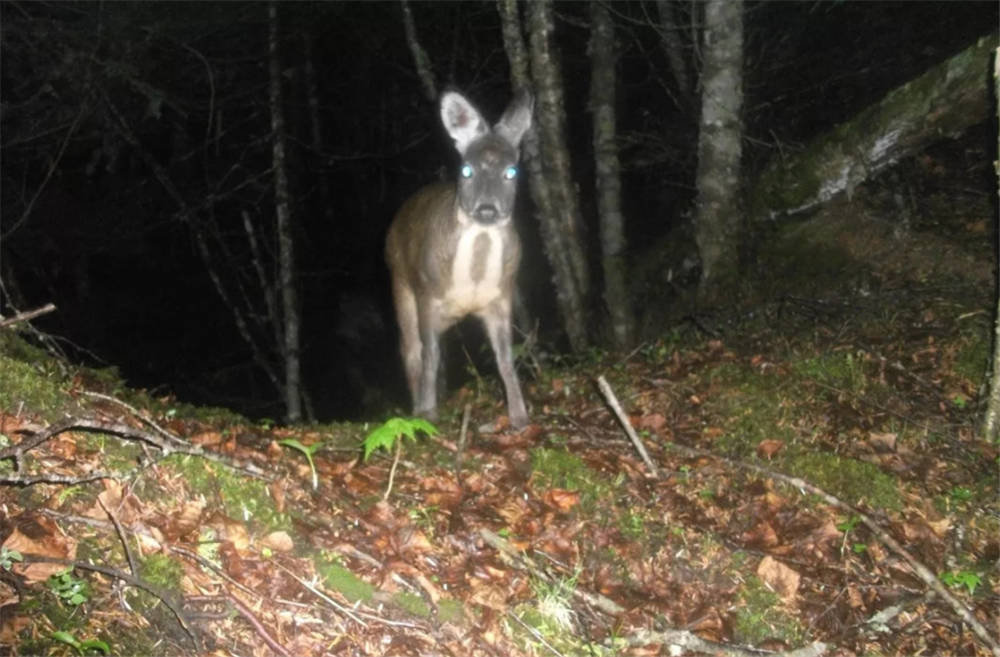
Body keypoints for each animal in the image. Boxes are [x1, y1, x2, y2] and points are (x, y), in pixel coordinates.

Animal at [386, 91, 536, 430]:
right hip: (400, 281)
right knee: (411, 351)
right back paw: (417, 406)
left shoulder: (502, 295)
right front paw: (427, 414)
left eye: (512, 172)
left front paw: (519, 416)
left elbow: (505, 358)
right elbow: (429, 356)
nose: (487, 209)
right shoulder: (427, 292)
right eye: (466, 170)